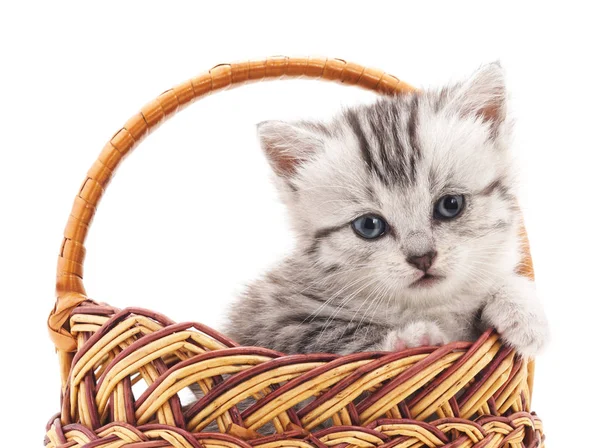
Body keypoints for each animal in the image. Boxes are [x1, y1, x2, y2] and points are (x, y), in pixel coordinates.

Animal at [225, 63, 548, 358]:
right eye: (369, 225)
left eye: (450, 205)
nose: (422, 257)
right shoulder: (273, 321)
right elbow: (335, 336)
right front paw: (413, 338)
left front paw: (523, 311)